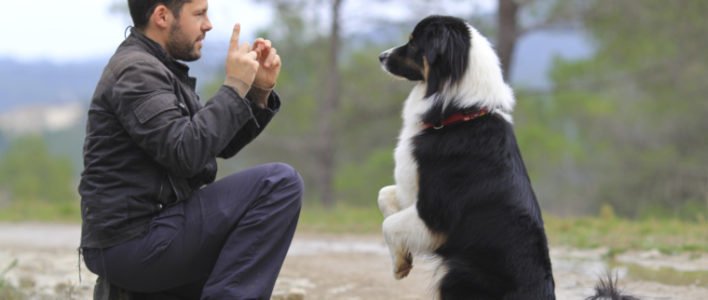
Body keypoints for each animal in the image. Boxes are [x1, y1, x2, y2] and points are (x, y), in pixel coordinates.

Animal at [378, 15, 640, 300]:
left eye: (414, 43)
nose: (381, 56)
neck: (458, 113)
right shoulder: (412, 191)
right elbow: (384, 197)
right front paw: (402, 259)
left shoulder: (435, 212)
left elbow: (389, 225)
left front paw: (399, 266)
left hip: (456, 272)